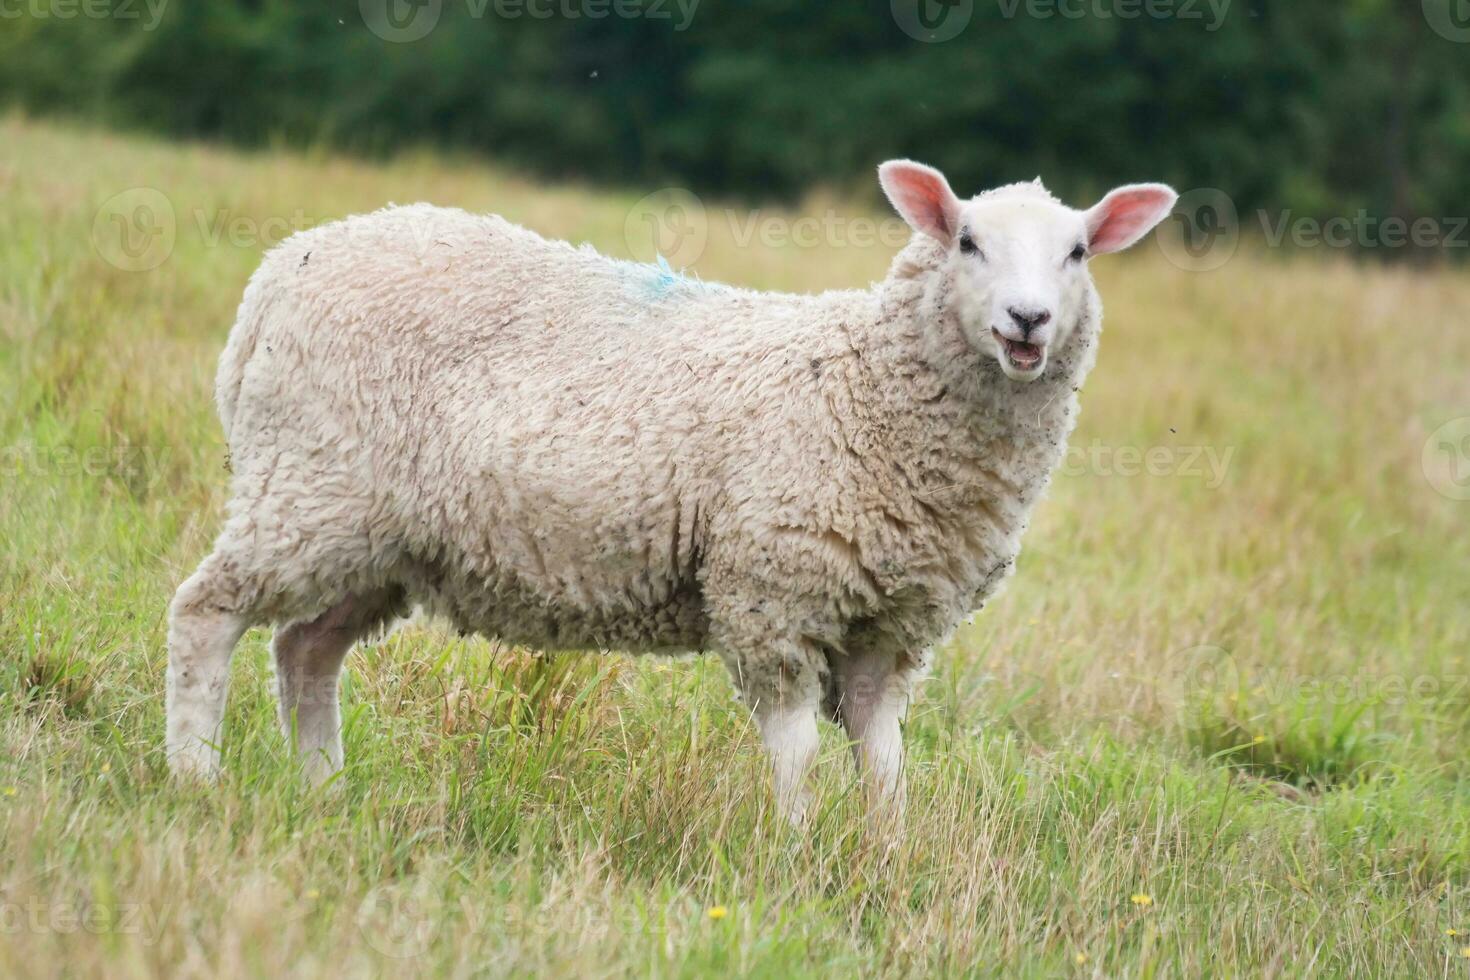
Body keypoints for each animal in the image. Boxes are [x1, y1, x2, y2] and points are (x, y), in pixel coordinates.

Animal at [165, 160, 1176, 823]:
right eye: (967, 241)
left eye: (1078, 253)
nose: (1027, 321)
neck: (868, 387)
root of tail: (279, 274)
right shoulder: (773, 590)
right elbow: (797, 750)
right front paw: (796, 850)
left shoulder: (892, 628)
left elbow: (884, 761)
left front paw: (889, 857)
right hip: (311, 488)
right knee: (206, 613)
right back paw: (196, 780)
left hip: (381, 537)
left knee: (304, 653)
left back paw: (325, 795)